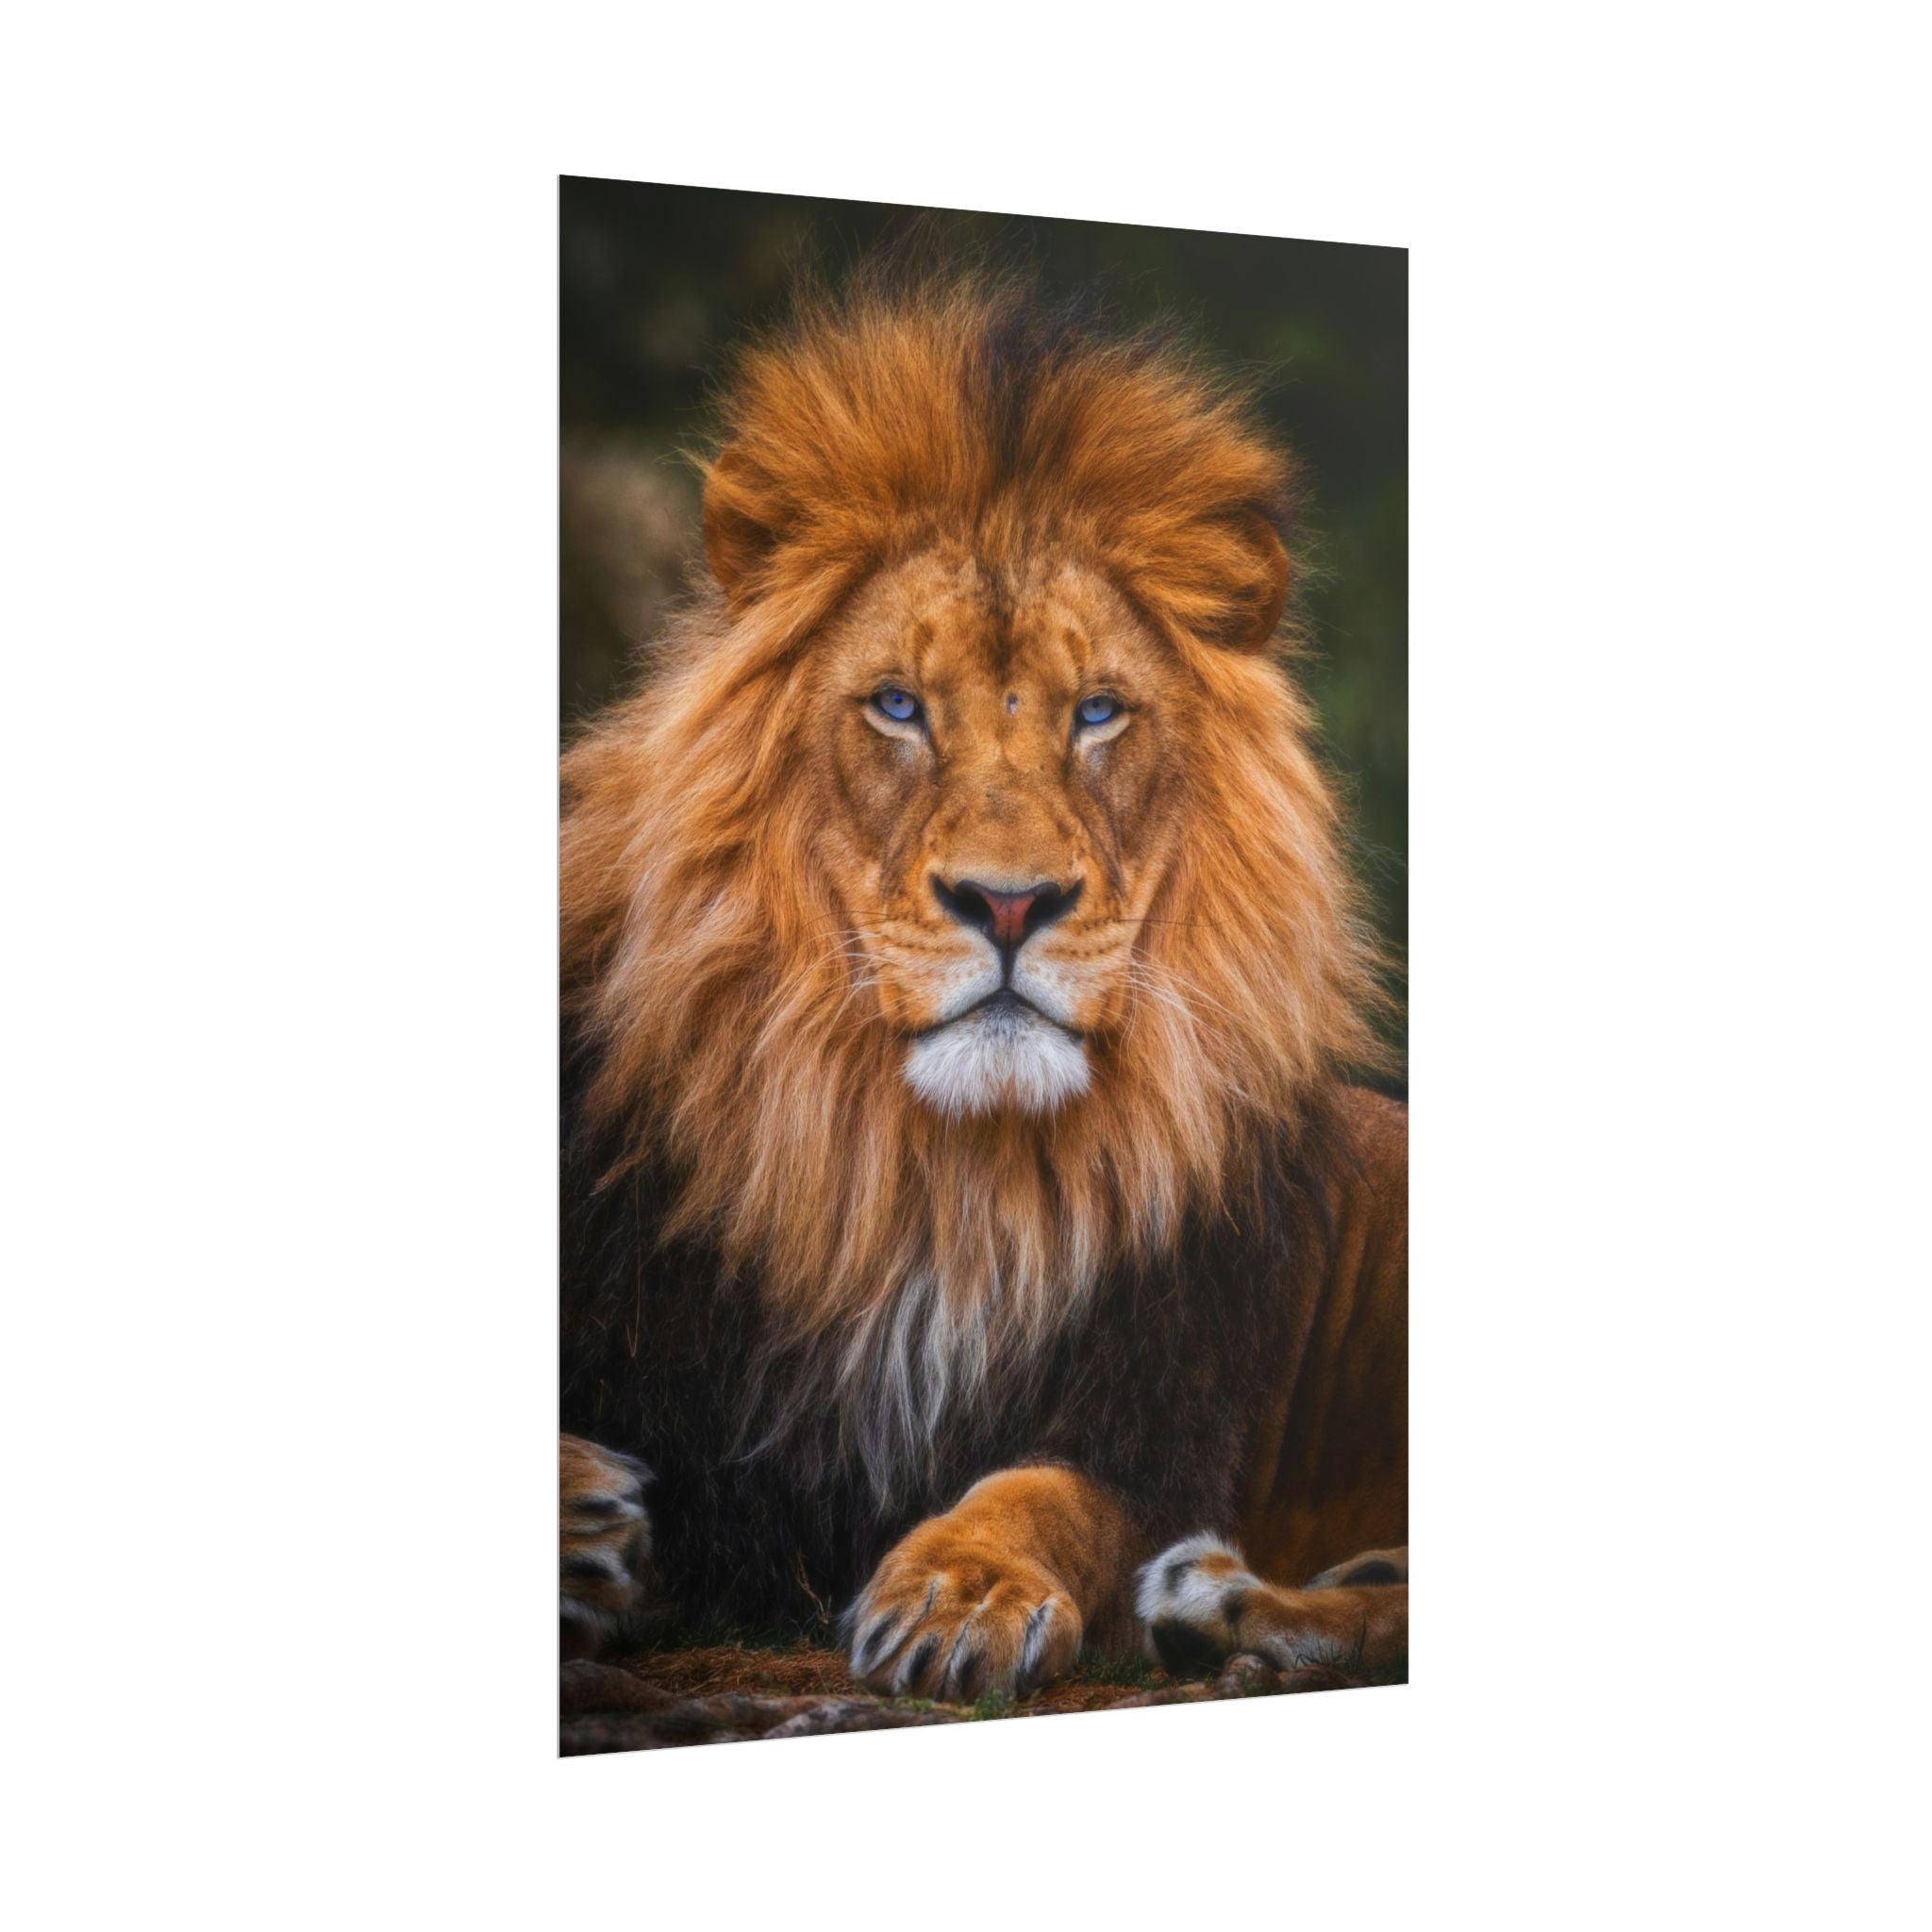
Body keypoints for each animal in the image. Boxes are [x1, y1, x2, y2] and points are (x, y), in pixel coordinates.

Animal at [559, 273, 1407, 1707]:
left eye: (1098, 712)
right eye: (898, 706)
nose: (1008, 905)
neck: (937, 1179)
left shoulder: (1153, 1419)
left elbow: (1043, 1495)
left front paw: (963, 1591)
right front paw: (581, 1521)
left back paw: (1226, 1606)